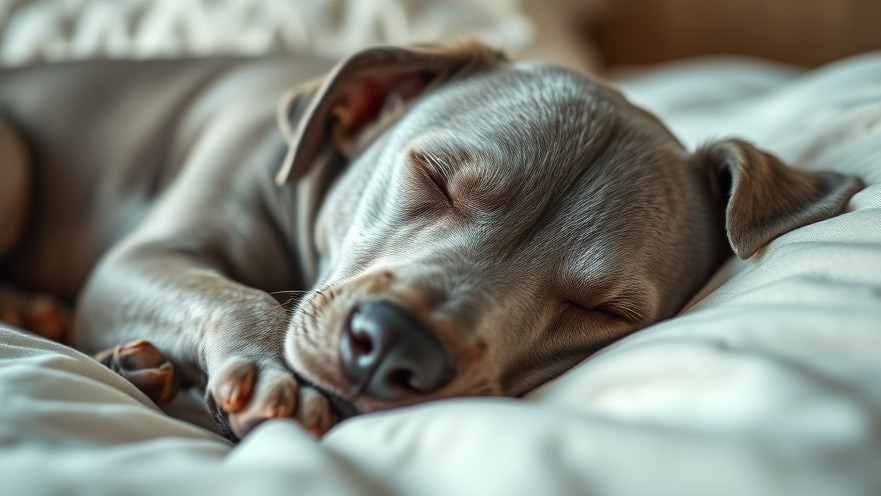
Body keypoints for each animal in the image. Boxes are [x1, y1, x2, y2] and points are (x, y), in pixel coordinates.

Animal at [0, 40, 868, 440]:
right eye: (434, 174)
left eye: (603, 310)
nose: (391, 344)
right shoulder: (139, 261)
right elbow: (240, 298)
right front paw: (272, 371)